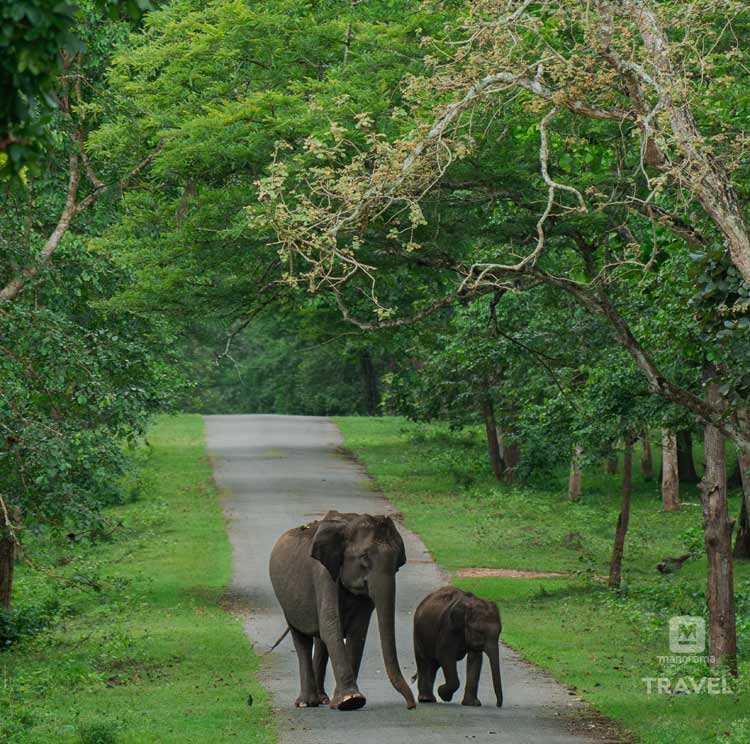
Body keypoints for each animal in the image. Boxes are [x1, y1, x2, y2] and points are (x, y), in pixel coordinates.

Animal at [270, 512, 420, 708]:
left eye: (397, 564)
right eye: (364, 558)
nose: (411, 705)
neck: (347, 525)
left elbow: (358, 631)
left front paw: (345, 701)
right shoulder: (323, 574)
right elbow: (330, 625)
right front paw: (351, 700)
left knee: (320, 640)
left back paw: (322, 699)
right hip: (286, 602)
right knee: (302, 640)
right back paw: (306, 703)